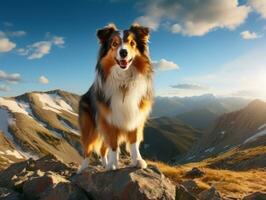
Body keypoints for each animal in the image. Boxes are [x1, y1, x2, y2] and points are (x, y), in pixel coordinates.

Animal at [77, 23, 154, 172]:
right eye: (114, 44)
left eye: (132, 43)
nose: (123, 52)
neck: (123, 81)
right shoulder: (109, 120)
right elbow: (113, 144)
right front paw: (113, 164)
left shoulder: (135, 115)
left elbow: (134, 142)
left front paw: (138, 161)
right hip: (89, 128)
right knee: (87, 150)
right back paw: (83, 169)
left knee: (102, 149)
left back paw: (105, 164)